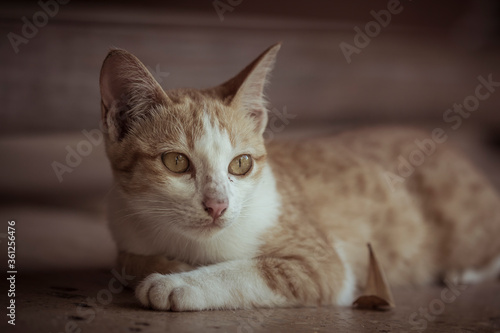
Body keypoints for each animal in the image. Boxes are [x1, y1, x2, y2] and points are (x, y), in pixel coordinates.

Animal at [98, 42, 500, 310]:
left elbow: (257, 270)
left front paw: (178, 284)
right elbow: (124, 262)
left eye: (240, 164)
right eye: (177, 162)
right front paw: (162, 266)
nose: (217, 206)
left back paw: (462, 273)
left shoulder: (325, 264)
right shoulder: (124, 224)